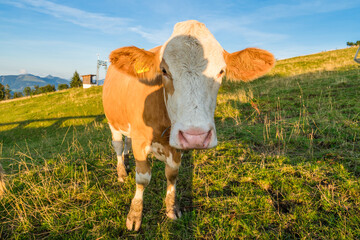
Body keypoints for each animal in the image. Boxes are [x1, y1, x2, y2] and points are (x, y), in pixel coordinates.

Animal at [102, 19, 274, 231]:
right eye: (164, 71)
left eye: (221, 71)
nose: (196, 136)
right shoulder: (140, 140)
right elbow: (142, 178)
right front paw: (135, 215)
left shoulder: (175, 146)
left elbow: (172, 174)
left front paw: (171, 208)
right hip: (112, 122)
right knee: (118, 145)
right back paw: (121, 172)